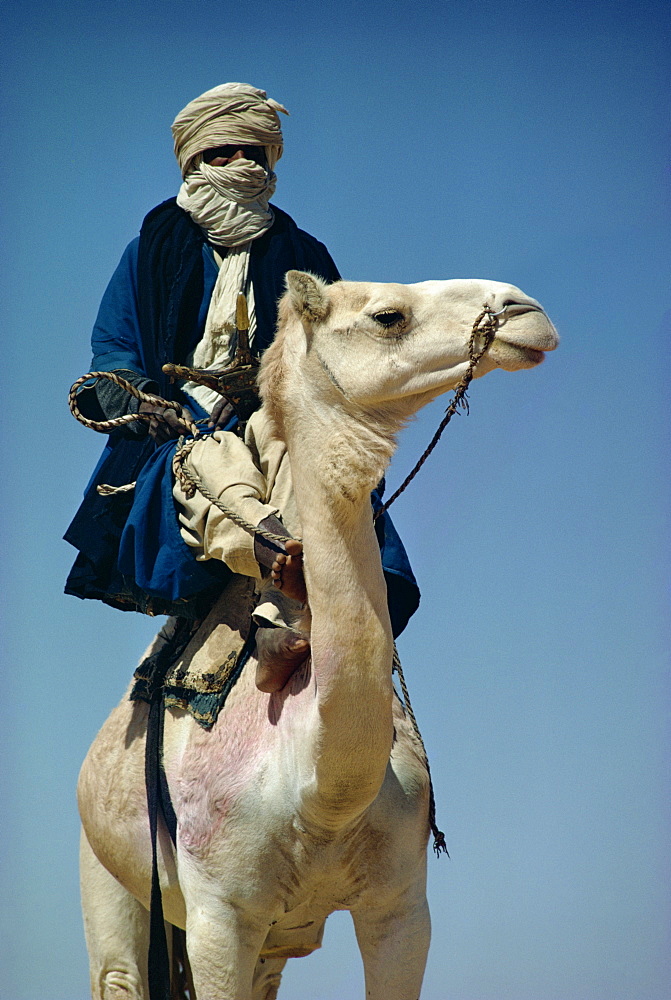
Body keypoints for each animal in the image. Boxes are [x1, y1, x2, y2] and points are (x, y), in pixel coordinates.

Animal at [79, 270, 560, 996]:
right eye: (388, 315)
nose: (524, 311)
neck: (318, 790)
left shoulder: (401, 909)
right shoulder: (219, 916)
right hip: (107, 869)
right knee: (119, 973)